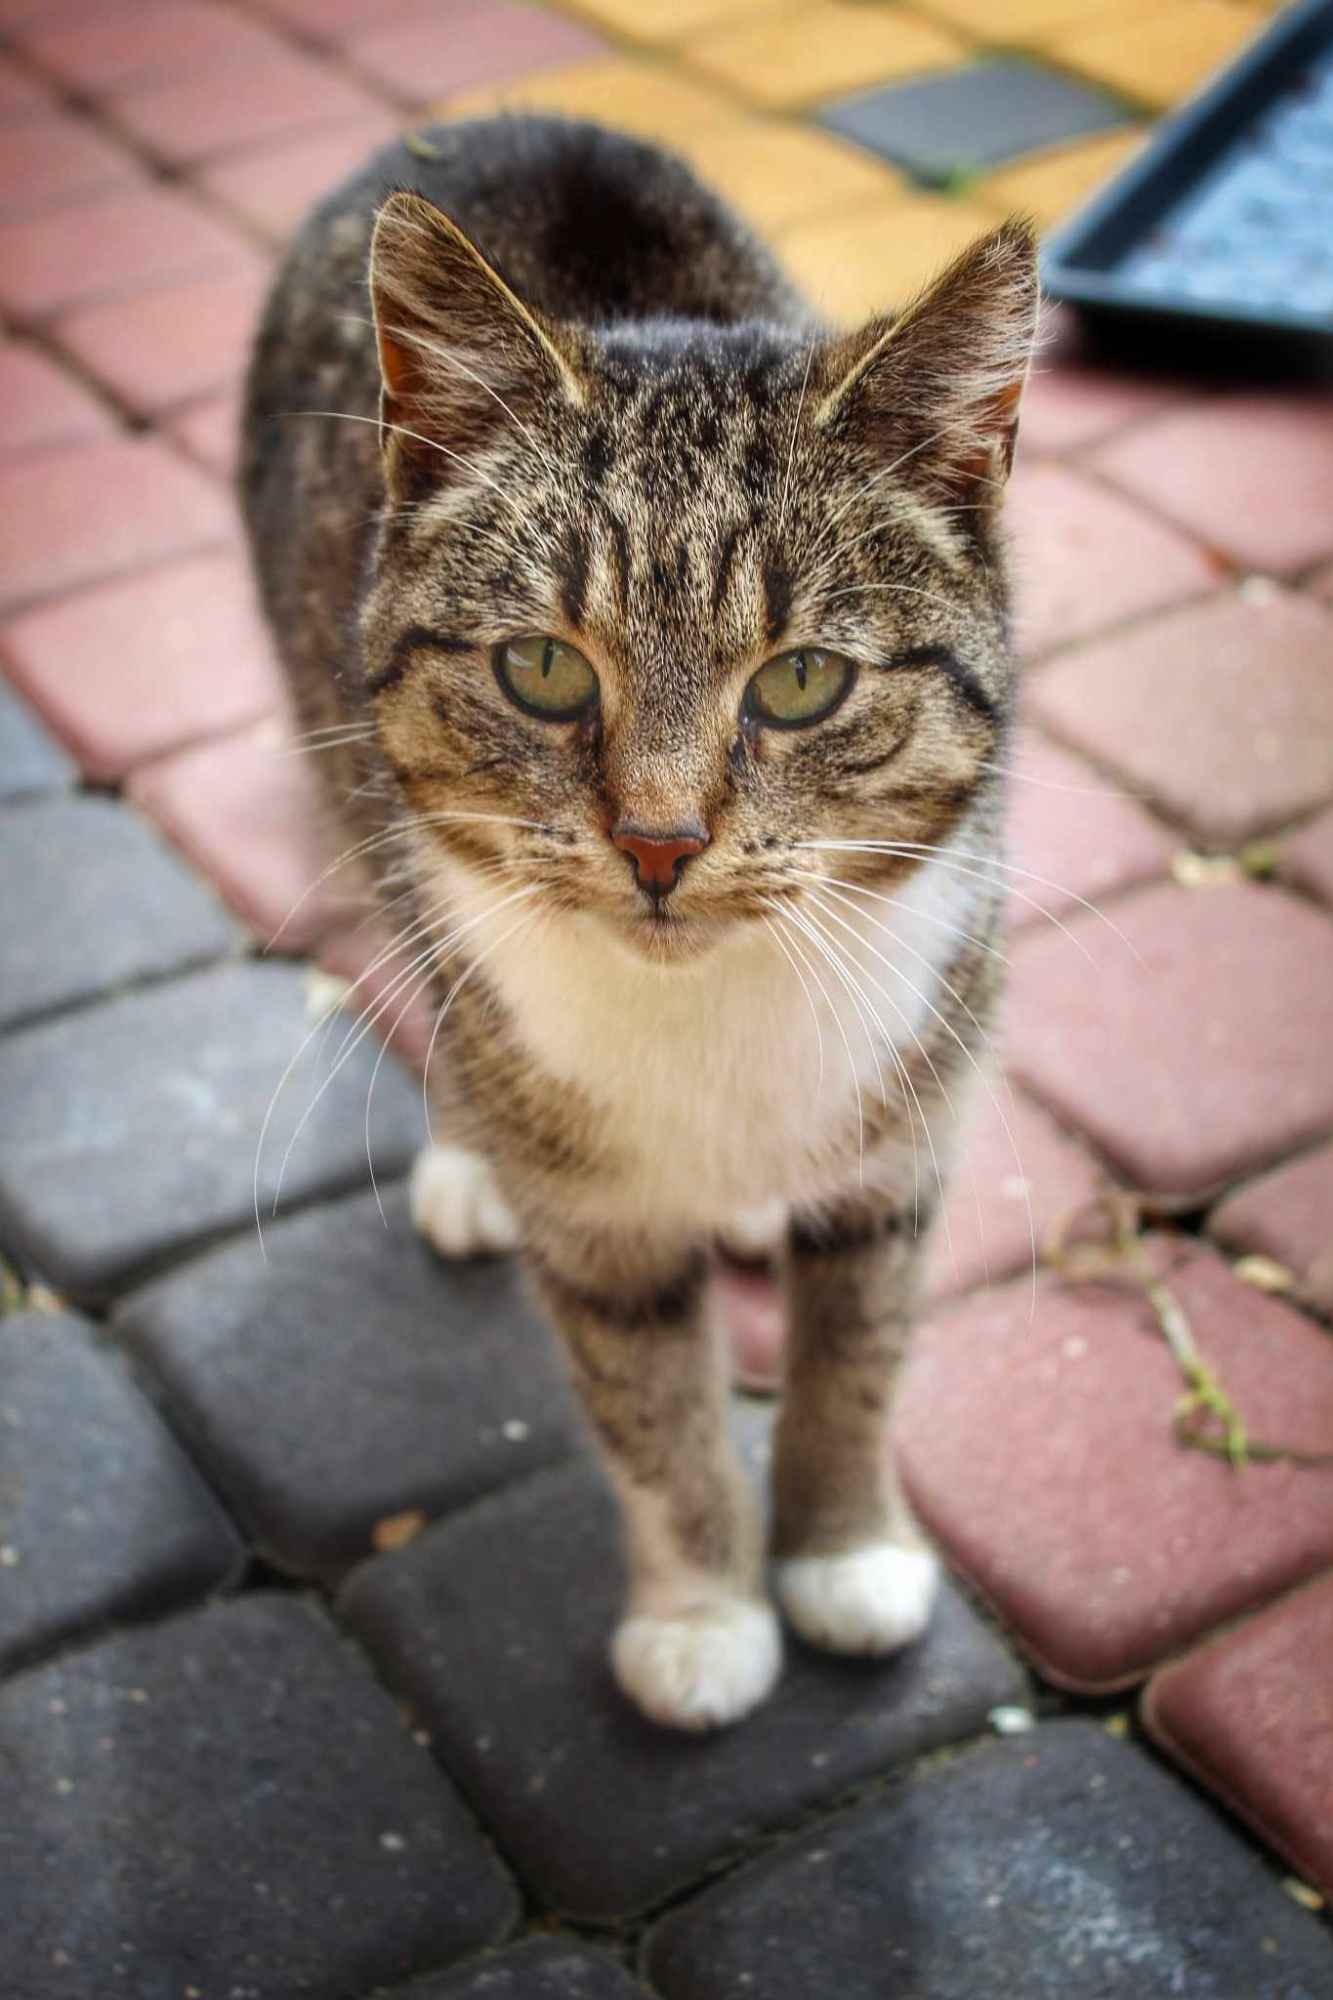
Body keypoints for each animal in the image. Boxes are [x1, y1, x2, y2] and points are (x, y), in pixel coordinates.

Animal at [246, 117, 1040, 1728]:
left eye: (801, 681)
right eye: (544, 668)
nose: (660, 844)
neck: (715, 1007)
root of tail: (489, 119)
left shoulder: (903, 1146)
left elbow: (858, 1358)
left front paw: (842, 1550)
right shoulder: (602, 1236)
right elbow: (651, 1407)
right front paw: (703, 1616)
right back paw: (470, 1161)